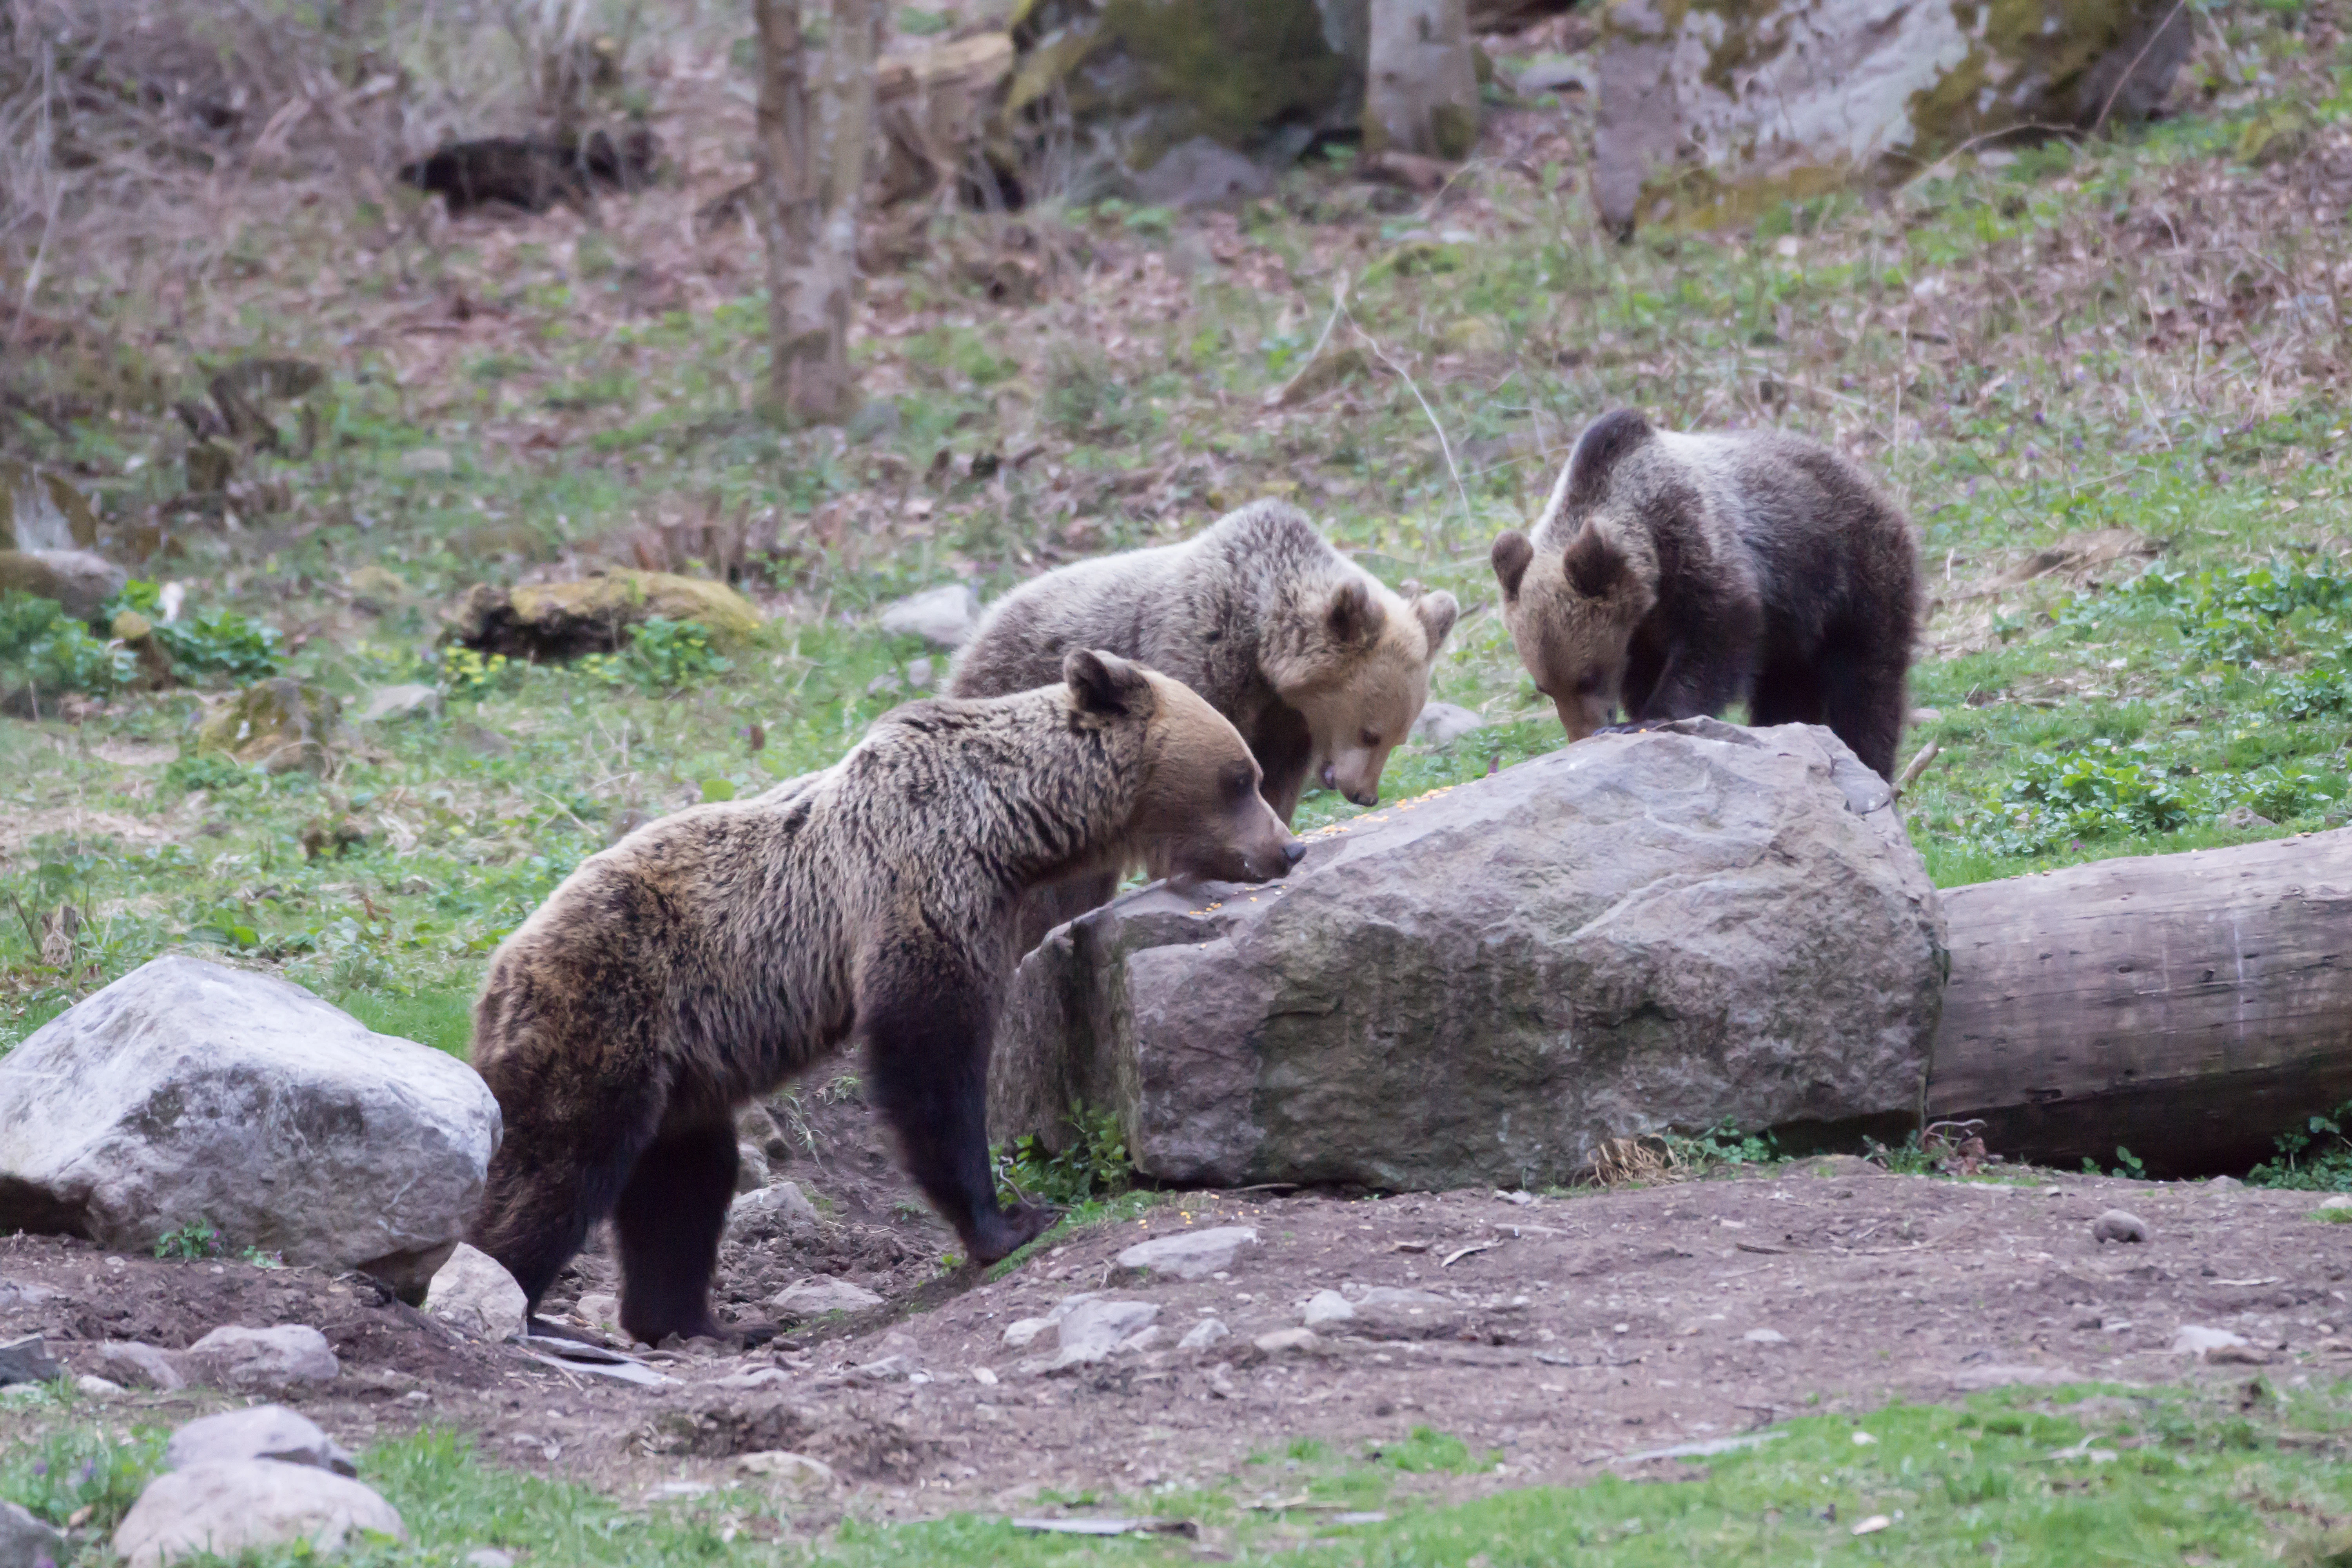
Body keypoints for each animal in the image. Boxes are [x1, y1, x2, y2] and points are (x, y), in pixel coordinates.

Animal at [466, 650, 1304, 1347]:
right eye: (1243, 776)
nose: (1288, 847)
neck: (1013, 829)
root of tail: (501, 964)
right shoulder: (921, 883)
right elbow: (930, 1058)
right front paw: (1011, 1219)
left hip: (685, 1074)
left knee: (685, 1188)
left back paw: (701, 1325)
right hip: (608, 1008)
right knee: (558, 1164)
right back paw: (514, 1298)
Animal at [949, 499, 1457, 946]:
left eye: (1398, 737)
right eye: (1371, 732)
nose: (1364, 795)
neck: (1259, 649)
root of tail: (979, 632)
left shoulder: (1287, 724)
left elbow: (1274, 787)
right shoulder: (1195, 666)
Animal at [1488, 409, 1919, 781]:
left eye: (1587, 677)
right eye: (1544, 687)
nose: (1582, 734)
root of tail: (1877, 488)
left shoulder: (1699, 546)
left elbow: (1714, 638)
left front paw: (1646, 719)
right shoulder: (1641, 628)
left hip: (1854, 578)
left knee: (1866, 686)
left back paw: (1868, 759)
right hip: (1796, 633)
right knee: (1787, 688)